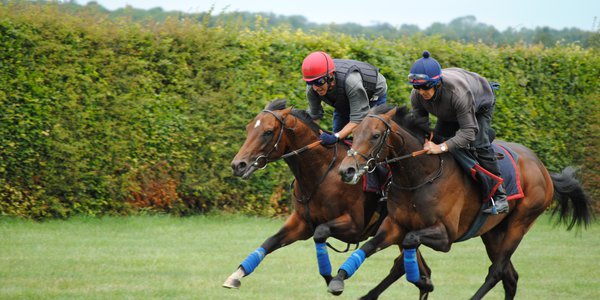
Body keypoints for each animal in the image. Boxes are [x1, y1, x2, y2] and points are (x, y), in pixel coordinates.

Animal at [223, 99, 434, 298]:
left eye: (268, 132)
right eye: (248, 128)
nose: (238, 165)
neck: (322, 171)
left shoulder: (354, 226)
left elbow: (321, 233)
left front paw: (333, 280)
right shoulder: (302, 223)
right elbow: (270, 242)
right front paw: (236, 275)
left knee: (404, 266)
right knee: (412, 267)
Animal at [326, 104, 592, 298]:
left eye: (375, 136)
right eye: (354, 134)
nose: (347, 171)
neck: (420, 174)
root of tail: (543, 168)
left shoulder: (445, 236)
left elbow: (411, 240)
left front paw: (420, 280)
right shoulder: (395, 225)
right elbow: (370, 246)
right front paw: (338, 278)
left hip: (520, 223)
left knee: (496, 272)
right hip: (493, 232)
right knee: (510, 277)